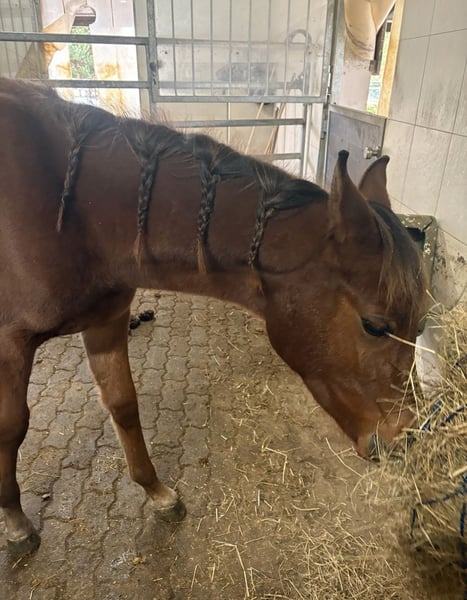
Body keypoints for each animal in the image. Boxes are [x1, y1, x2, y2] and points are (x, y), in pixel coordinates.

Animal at [0, 78, 426, 557]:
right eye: (374, 325)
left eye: (422, 324)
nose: (404, 439)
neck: (74, 211)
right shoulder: (9, 344)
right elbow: (11, 427)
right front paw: (16, 521)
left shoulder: (106, 320)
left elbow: (123, 405)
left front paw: (157, 492)